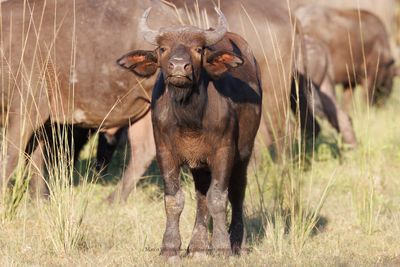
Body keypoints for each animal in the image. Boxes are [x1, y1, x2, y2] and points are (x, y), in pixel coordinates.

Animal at [116, 8, 262, 258]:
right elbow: (174, 200)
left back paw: (236, 243)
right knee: (201, 196)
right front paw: (170, 247)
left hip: (244, 152)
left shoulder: (224, 152)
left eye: (198, 49)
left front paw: (222, 247)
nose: (178, 67)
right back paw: (198, 247)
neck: (189, 119)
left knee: (237, 193)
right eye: (162, 49)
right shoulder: (165, 153)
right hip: (200, 166)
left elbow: (219, 198)